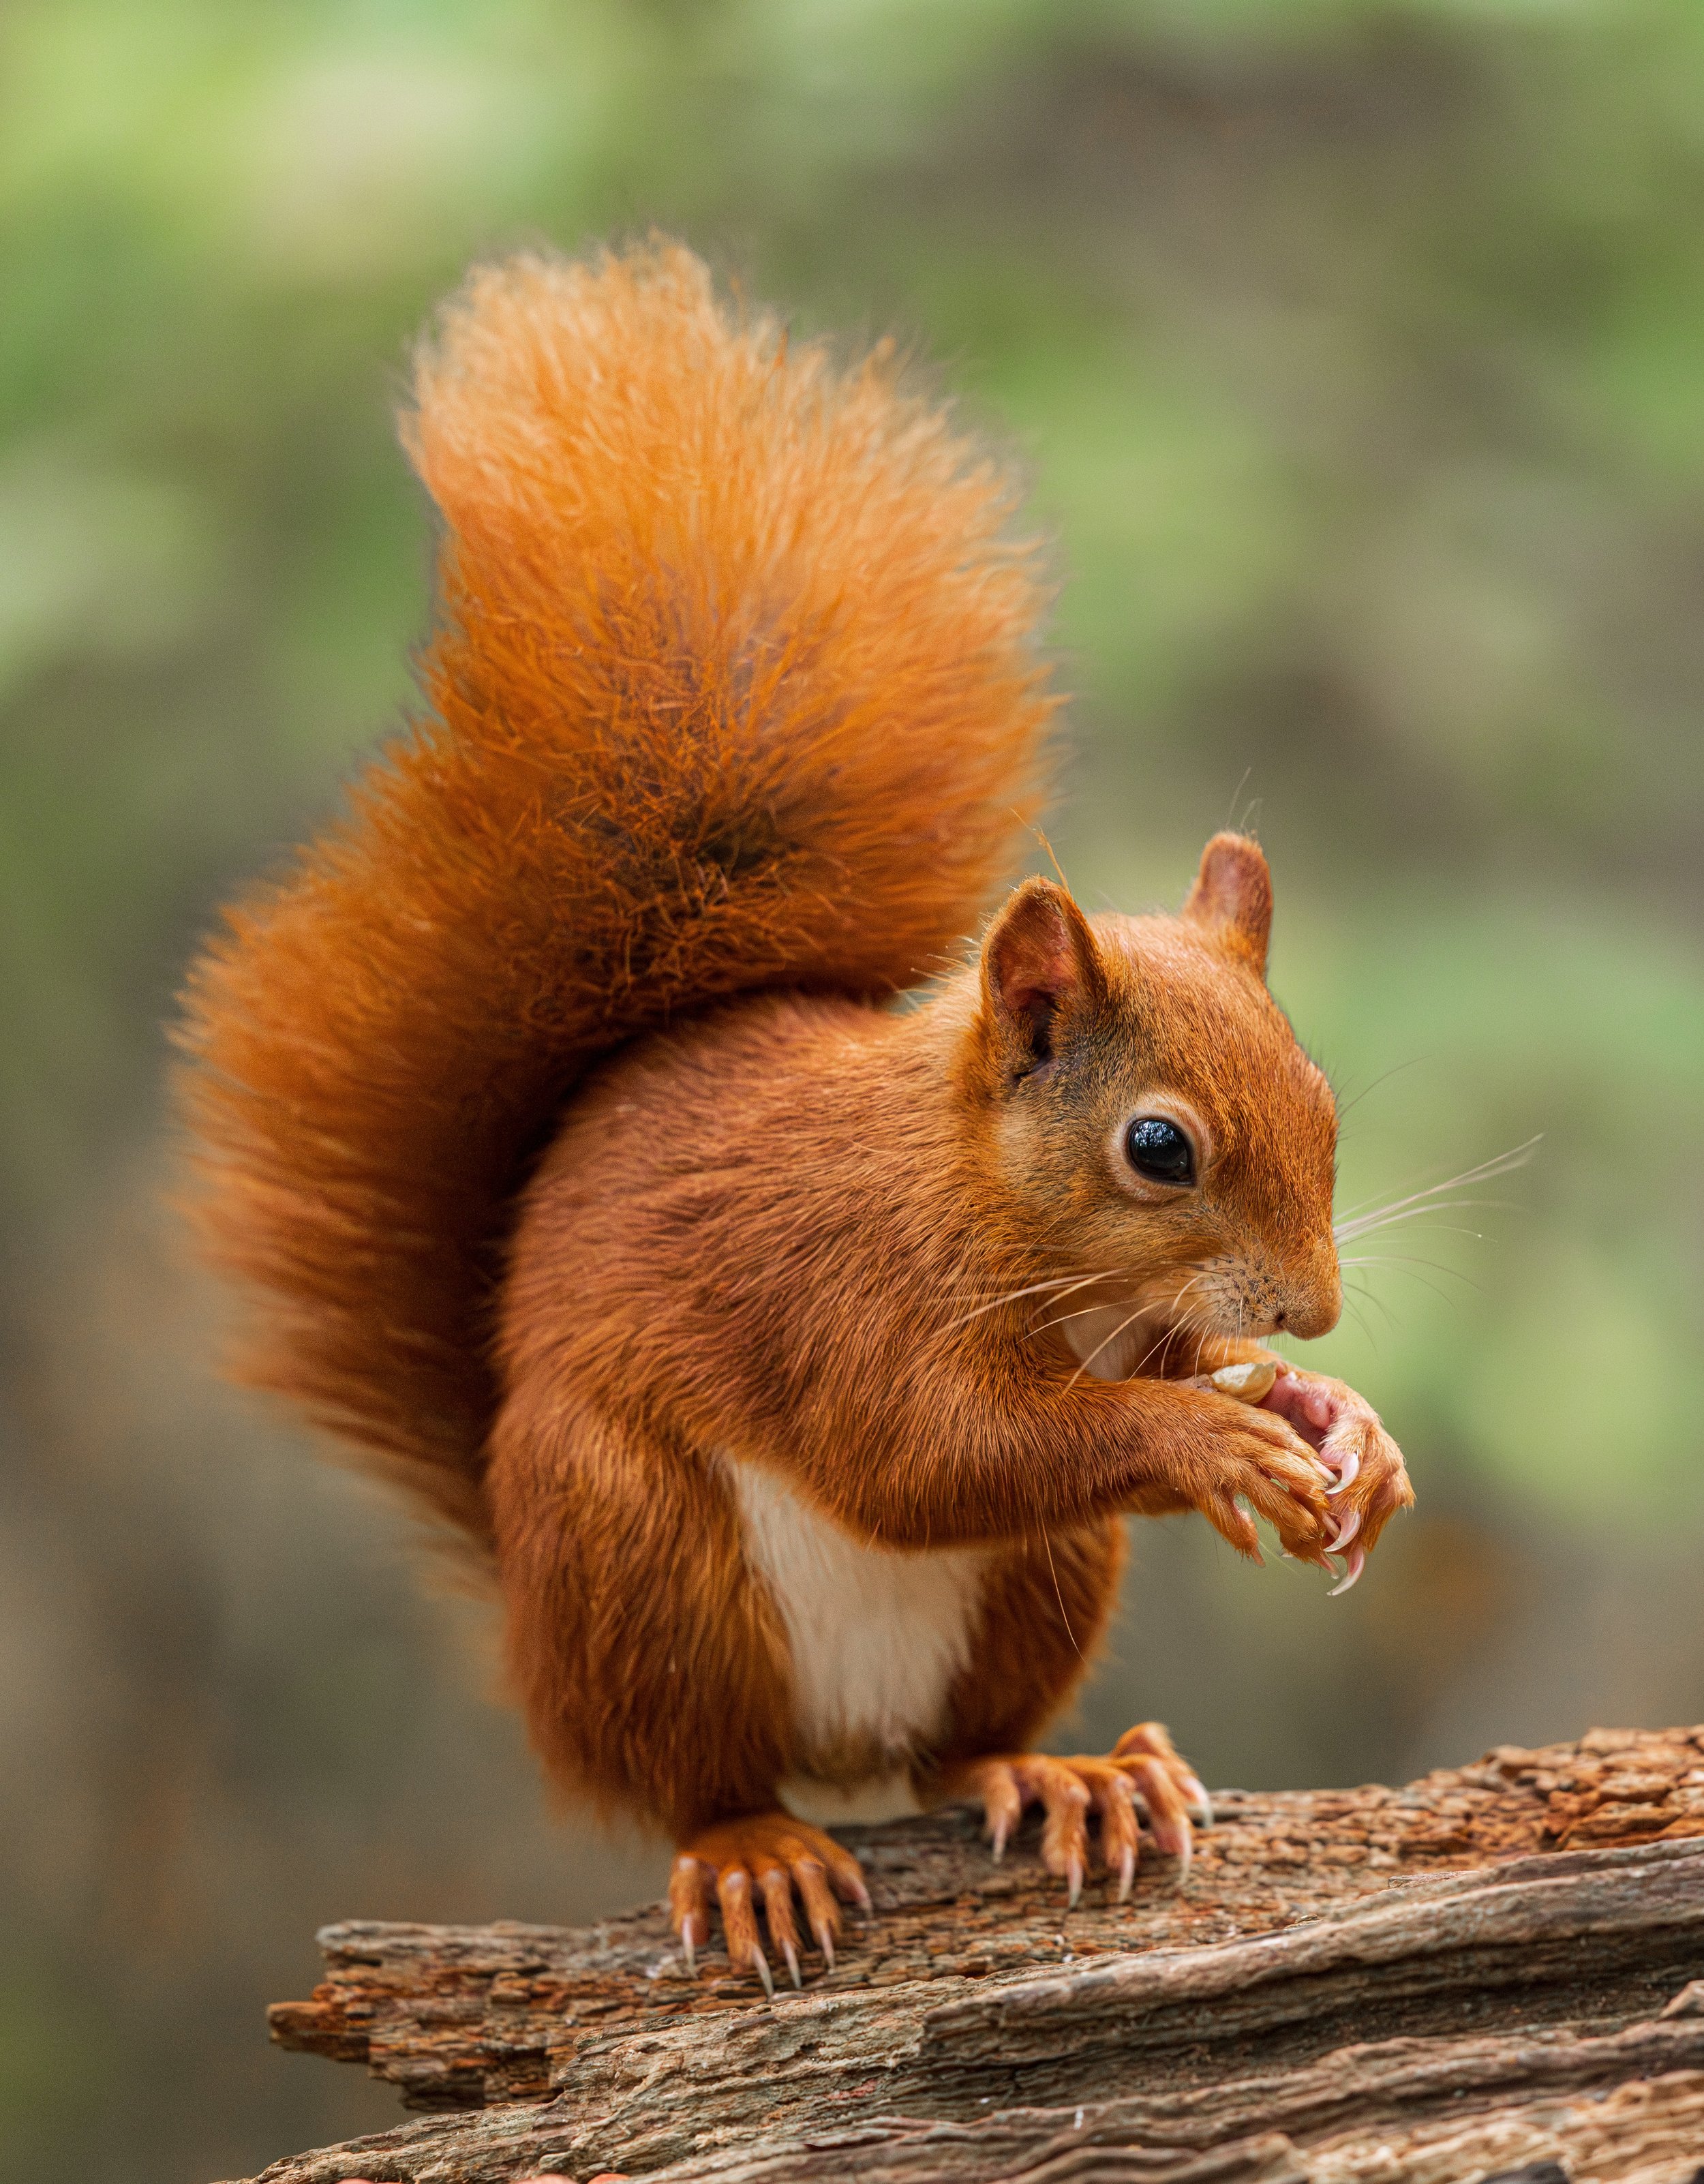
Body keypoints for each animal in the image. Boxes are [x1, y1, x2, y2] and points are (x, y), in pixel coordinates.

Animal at [177, 239, 1412, 1994]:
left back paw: (1063, 1771)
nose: (1310, 1308)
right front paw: (1207, 1437)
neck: (991, 1207)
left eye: (1318, 1097)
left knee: (956, 1750)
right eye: (1157, 1146)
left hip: (1045, 1579)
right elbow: (924, 1452)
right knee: (692, 1777)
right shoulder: (841, 1287)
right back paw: (755, 1849)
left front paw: (1341, 1427)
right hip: (634, 1546)